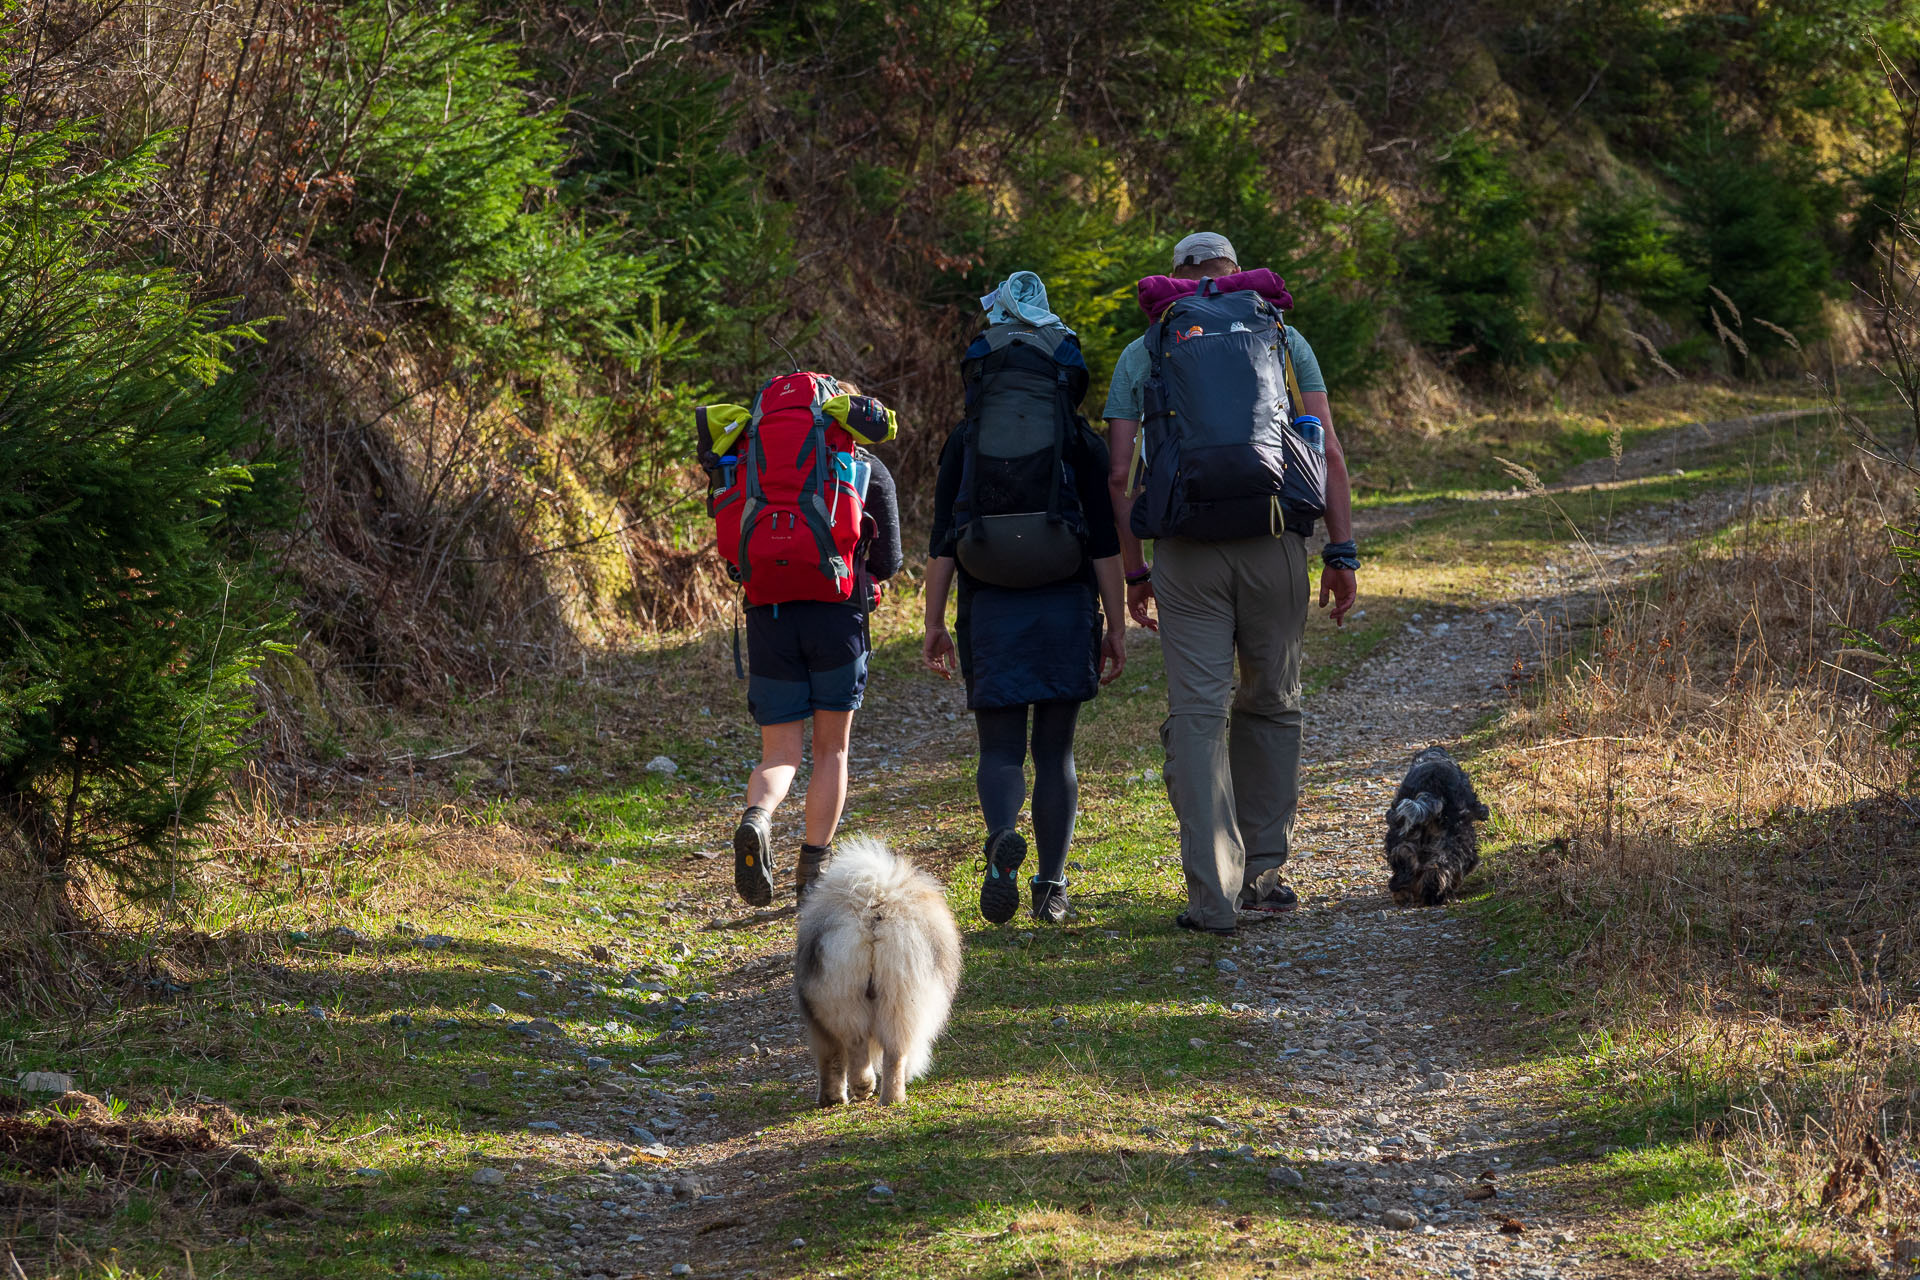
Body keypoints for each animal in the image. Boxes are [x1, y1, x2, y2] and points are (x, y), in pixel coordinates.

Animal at [791, 836, 960, 1105]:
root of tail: (874, 916)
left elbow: (831, 1061)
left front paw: (831, 1097)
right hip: (898, 997)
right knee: (892, 1053)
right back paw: (889, 1096)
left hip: (845, 997)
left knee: (857, 1045)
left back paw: (862, 1089)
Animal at [1390, 744, 1489, 905]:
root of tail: (1430, 789)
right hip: (1455, 837)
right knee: (1442, 864)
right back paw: (1435, 892)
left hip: (1402, 834)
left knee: (1404, 858)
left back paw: (1402, 893)